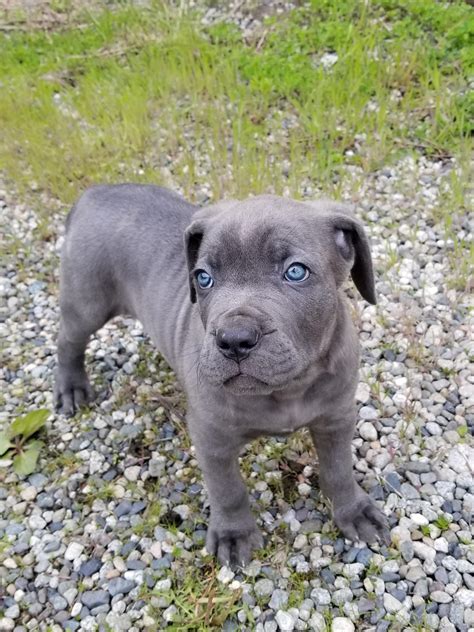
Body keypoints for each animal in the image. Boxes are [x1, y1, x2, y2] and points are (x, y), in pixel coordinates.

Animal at [55, 185, 388, 564]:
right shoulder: (211, 437)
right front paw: (234, 534)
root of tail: (95, 191)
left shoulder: (336, 416)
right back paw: (71, 388)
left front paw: (353, 512)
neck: (286, 390)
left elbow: (338, 468)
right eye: (203, 278)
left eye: (296, 272)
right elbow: (227, 490)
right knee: (68, 340)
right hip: (87, 301)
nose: (233, 339)